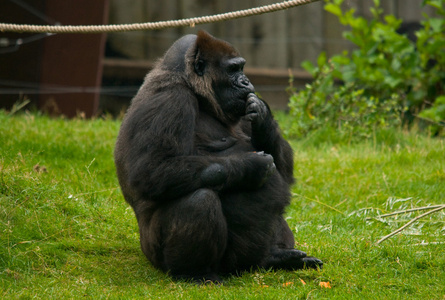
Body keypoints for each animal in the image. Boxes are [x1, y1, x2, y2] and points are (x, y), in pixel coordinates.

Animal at [113, 30, 322, 284]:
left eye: (241, 68)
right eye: (233, 70)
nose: (246, 81)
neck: (194, 89)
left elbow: (285, 169)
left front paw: (263, 116)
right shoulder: (170, 99)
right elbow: (151, 171)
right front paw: (251, 166)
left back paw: (276, 257)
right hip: (155, 254)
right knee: (199, 200)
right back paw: (195, 273)